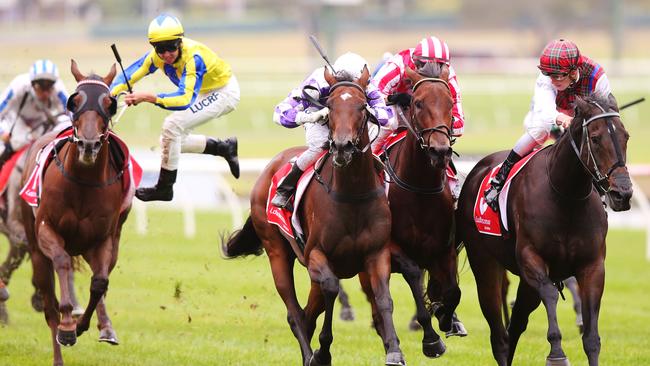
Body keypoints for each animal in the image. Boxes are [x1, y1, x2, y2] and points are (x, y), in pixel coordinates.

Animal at [19, 60, 133, 366]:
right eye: (75, 100)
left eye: (109, 102)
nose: (89, 144)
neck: (83, 181)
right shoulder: (46, 230)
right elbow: (61, 263)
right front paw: (68, 326)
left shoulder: (104, 239)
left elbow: (100, 282)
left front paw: (84, 325)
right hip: (36, 251)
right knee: (49, 306)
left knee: (101, 278)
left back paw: (105, 327)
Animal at [225, 67, 402, 364]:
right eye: (329, 106)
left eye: (362, 106)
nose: (342, 147)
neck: (353, 194)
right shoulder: (316, 254)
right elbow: (331, 288)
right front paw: (323, 351)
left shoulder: (376, 254)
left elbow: (384, 298)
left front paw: (395, 351)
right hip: (277, 252)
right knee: (295, 312)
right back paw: (310, 354)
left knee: (308, 311)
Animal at [360, 63, 460, 358]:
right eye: (418, 102)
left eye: (450, 103)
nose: (440, 150)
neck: (419, 190)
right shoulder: (391, 247)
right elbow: (414, 274)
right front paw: (431, 339)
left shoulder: (445, 249)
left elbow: (452, 291)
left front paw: (446, 317)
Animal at [454, 95, 632, 366]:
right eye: (595, 138)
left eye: (626, 136)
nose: (622, 193)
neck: (566, 196)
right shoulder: (532, 258)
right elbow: (549, 293)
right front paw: (557, 354)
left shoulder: (592, 265)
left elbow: (591, 336)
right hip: (485, 263)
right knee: (499, 334)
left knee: (516, 323)